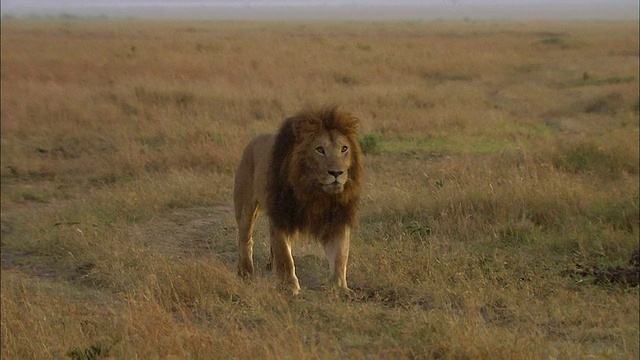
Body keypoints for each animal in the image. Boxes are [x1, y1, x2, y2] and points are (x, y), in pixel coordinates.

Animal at [235, 105, 364, 296]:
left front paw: (341, 287)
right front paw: (289, 286)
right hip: (245, 207)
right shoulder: (281, 217)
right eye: (320, 149)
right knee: (245, 239)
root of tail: (252, 142)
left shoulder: (337, 220)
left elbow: (340, 256)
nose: (336, 173)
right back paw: (245, 271)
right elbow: (285, 256)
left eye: (344, 149)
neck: (314, 192)